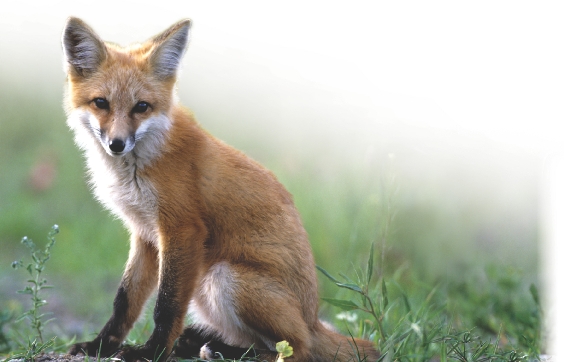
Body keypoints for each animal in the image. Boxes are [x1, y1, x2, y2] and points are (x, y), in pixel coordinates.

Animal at [60, 17, 378, 362]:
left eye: (141, 107)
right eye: (101, 103)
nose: (117, 144)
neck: (139, 166)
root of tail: (313, 320)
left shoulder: (182, 230)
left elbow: (166, 306)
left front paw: (151, 352)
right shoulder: (144, 235)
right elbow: (124, 301)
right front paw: (100, 346)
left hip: (224, 278)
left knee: (295, 349)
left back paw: (220, 349)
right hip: (206, 288)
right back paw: (200, 342)